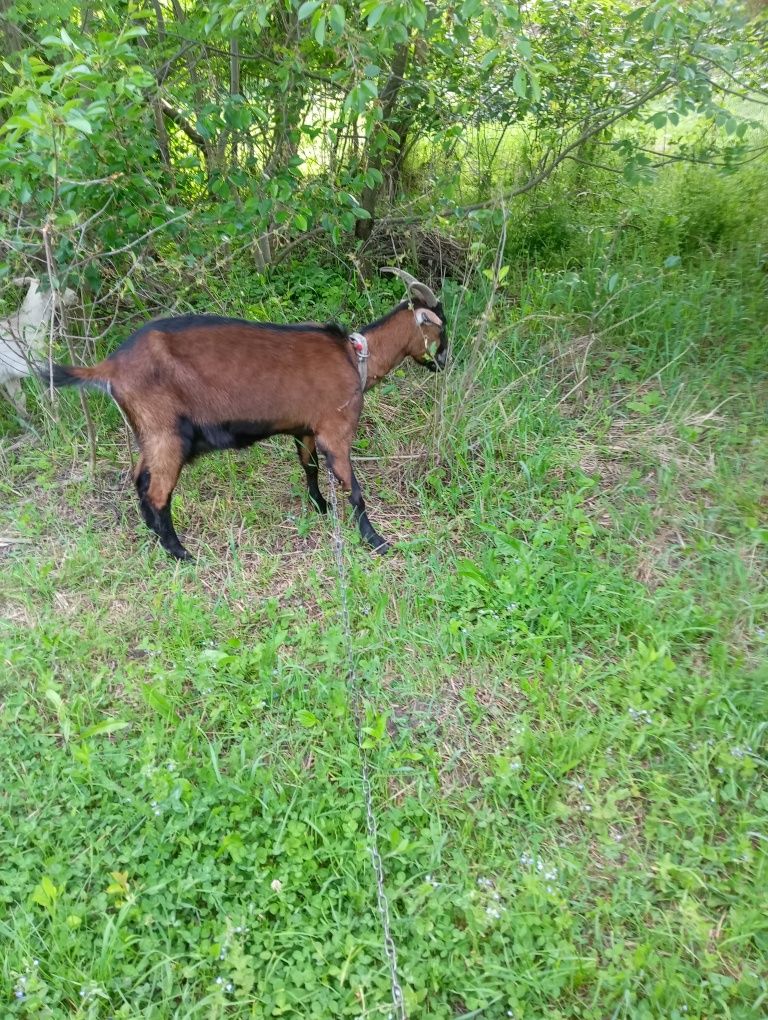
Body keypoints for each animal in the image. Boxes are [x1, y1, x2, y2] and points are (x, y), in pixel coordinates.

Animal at [41, 267, 446, 563]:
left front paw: (320, 505)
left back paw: (157, 538)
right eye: (440, 328)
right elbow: (355, 490)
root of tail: (110, 367)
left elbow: (310, 467)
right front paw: (377, 541)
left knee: (139, 479)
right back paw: (180, 553)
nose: (444, 362)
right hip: (166, 433)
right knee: (156, 492)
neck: (355, 358)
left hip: (149, 432)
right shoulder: (336, 429)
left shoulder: (306, 429)